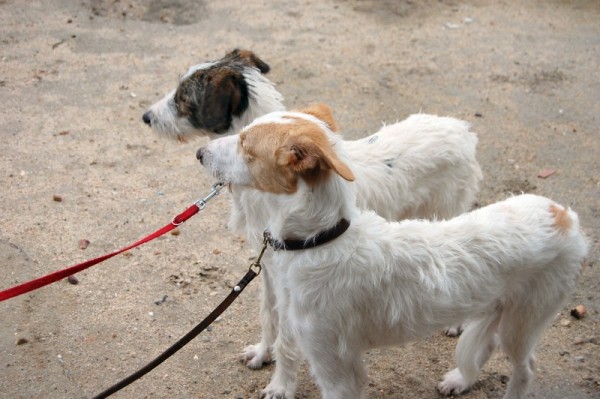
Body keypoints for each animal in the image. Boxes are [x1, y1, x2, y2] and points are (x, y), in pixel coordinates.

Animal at [196, 104, 584, 398]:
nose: (199, 152)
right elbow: (272, 327)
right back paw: (460, 380)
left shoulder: (336, 369)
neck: (322, 240)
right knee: (483, 348)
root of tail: (564, 215)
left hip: (524, 320)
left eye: (246, 145)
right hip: (497, 307)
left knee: (525, 367)